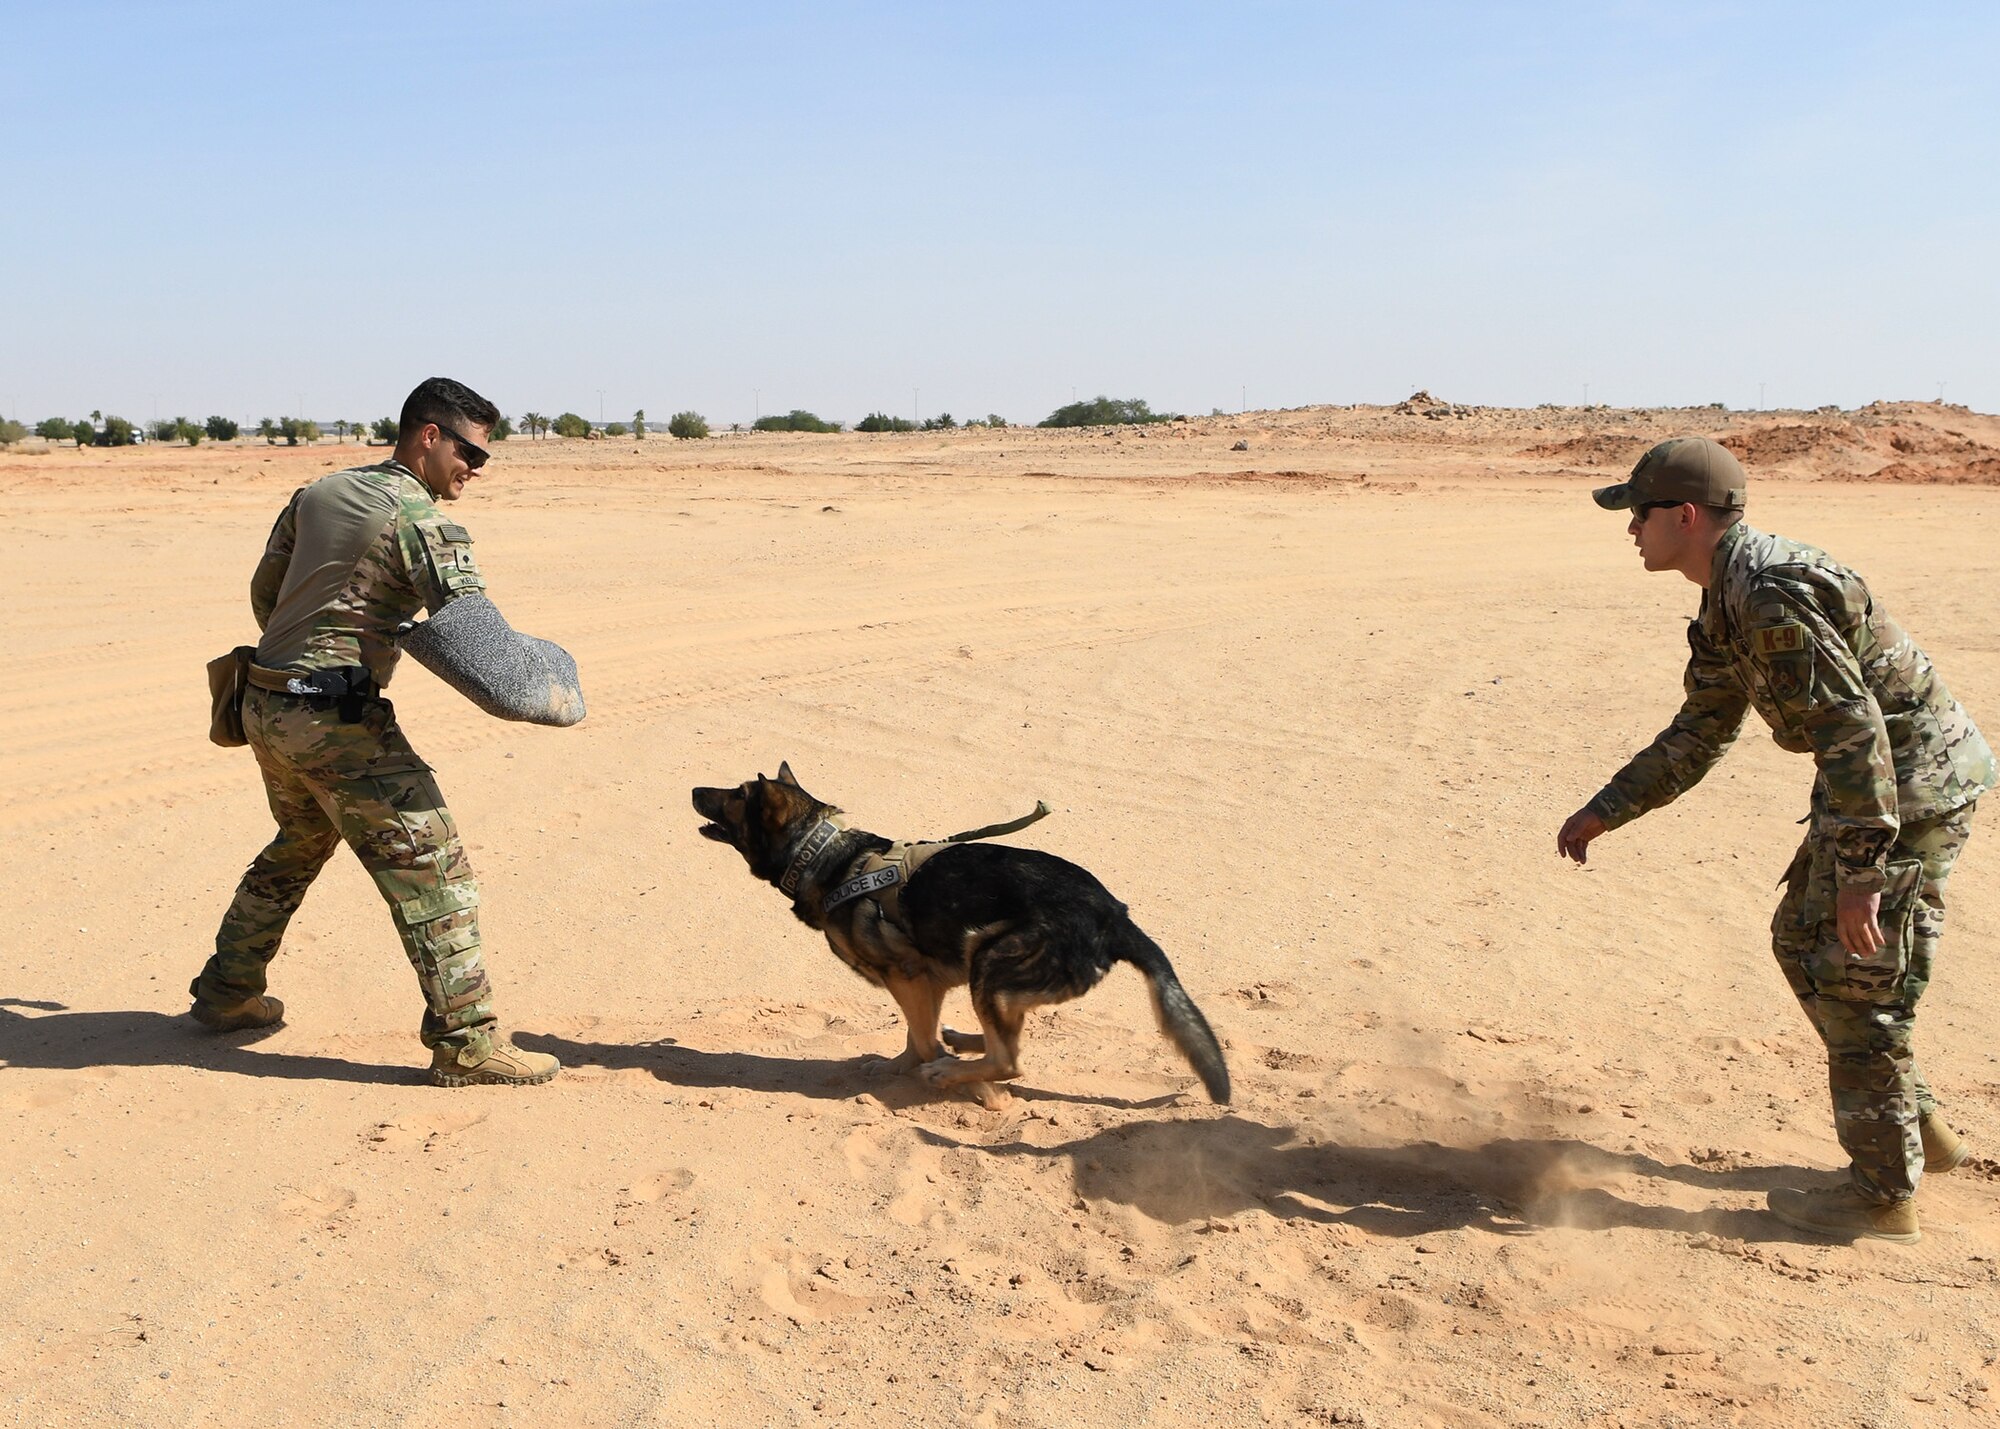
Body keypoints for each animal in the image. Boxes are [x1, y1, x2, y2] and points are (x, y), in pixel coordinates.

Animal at [688, 764, 1224, 1104]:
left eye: (737, 794)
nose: (692, 789)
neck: (824, 857)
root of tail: (1114, 914)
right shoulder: (923, 980)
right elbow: (915, 1034)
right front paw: (900, 1065)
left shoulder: (908, 975)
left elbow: (925, 1043)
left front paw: (970, 1090)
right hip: (986, 971)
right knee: (1002, 1037)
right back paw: (965, 1043)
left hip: (987, 955)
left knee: (1009, 1059)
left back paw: (960, 1070)